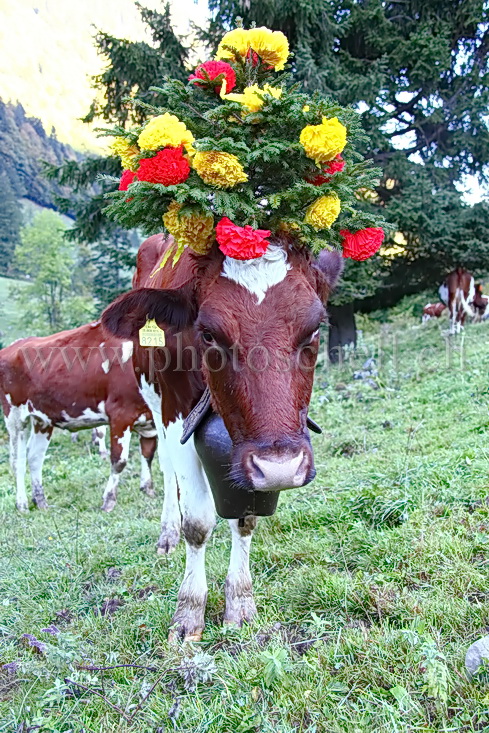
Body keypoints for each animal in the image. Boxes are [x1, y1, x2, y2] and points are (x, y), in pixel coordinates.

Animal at [0, 324, 156, 512]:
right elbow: (119, 460)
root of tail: (13, 346)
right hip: (15, 415)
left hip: (42, 419)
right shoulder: (121, 414)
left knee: (35, 457)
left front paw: (148, 490)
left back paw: (40, 501)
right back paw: (22, 503)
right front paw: (109, 500)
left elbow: (148, 453)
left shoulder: (152, 421)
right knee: (18, 460)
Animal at [101, 234, 342, 640]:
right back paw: (167, 534)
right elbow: (196, 523)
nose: (280, 468)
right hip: (152, 400)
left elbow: (245, 519)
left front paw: (240, 601)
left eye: (314, 329)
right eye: (209, 334)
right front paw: (188, 612)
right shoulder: (175, 414)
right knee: (167, 469)